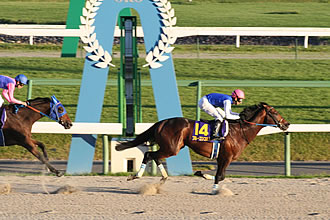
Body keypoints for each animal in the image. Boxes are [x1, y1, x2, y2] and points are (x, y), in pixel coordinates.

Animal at [115, 102, 288, 193]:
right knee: (150, 155)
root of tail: (162, 122)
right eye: (274, 111)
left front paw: (201, 174)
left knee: (155, 156)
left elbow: (220, 175)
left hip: (172, 147)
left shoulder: (222, 158)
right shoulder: (226, 157)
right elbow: (220, 176)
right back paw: (136, 176)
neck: (240, 131)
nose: (287, 124)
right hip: (172, 148)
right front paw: (213, 189)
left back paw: (162, 179)